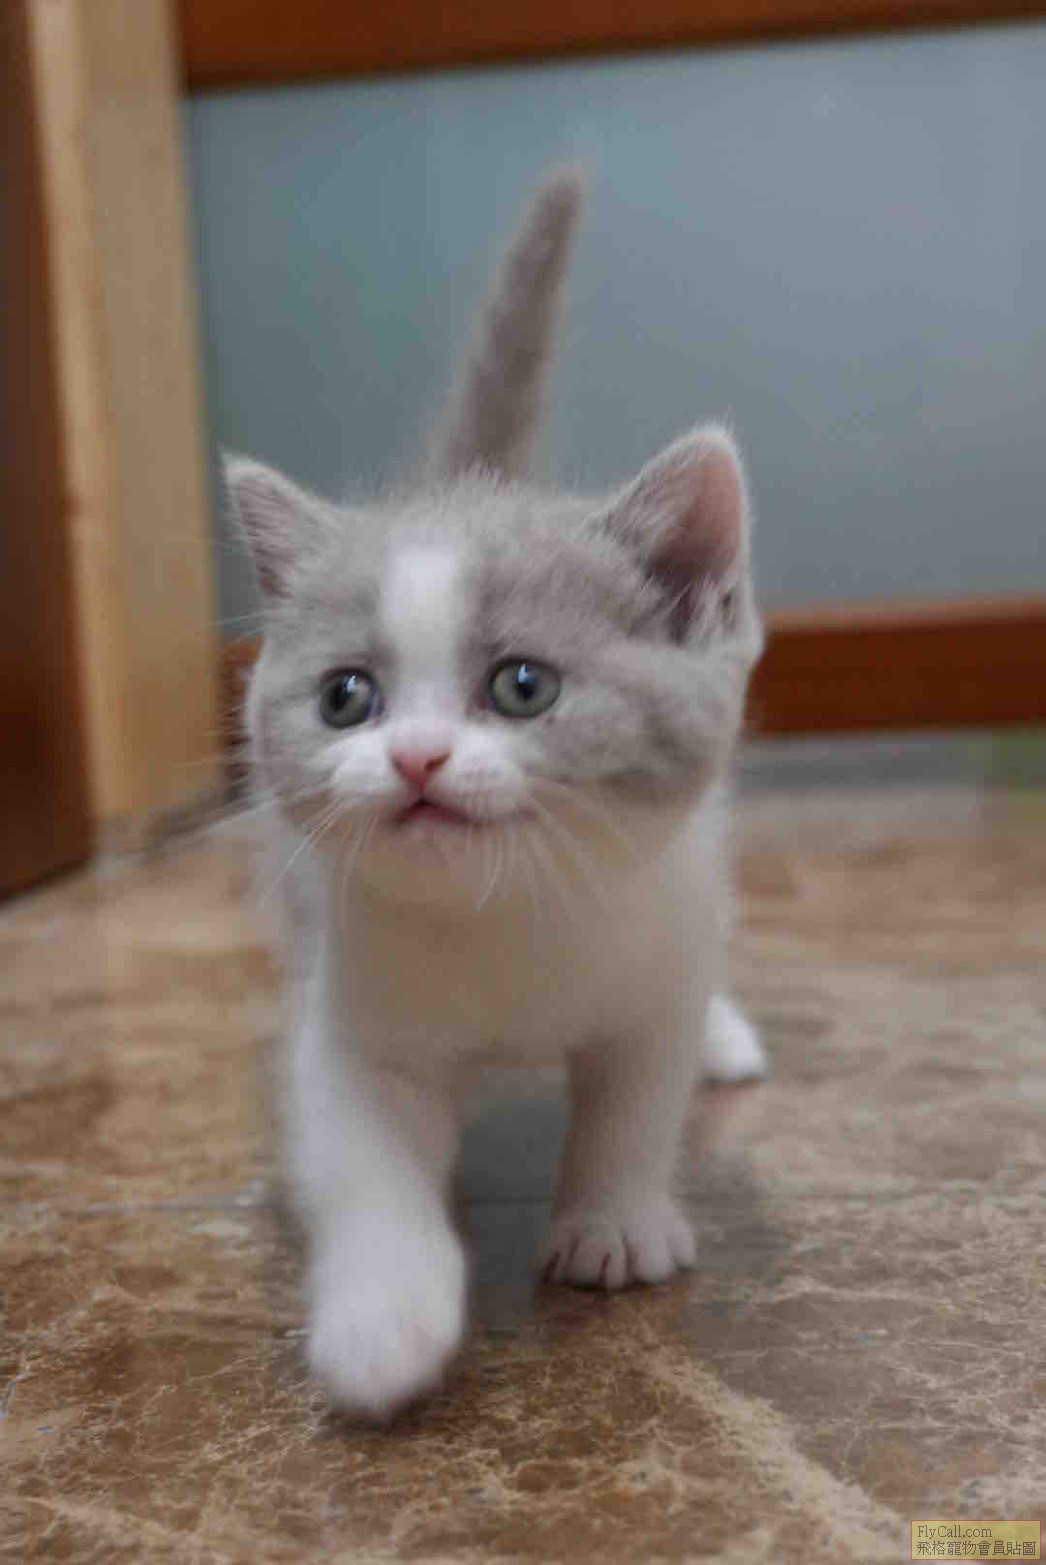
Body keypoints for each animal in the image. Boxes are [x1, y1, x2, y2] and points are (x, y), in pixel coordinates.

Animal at [228, 168, 766, 1420]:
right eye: (346, 698)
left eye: (523, 685)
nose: (417, 756)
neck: (506, 922)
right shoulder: (353, 1008)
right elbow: (364, 1157)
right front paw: (381, 1322)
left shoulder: (649, 954)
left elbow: (635, 1097)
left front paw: (613, 1223)